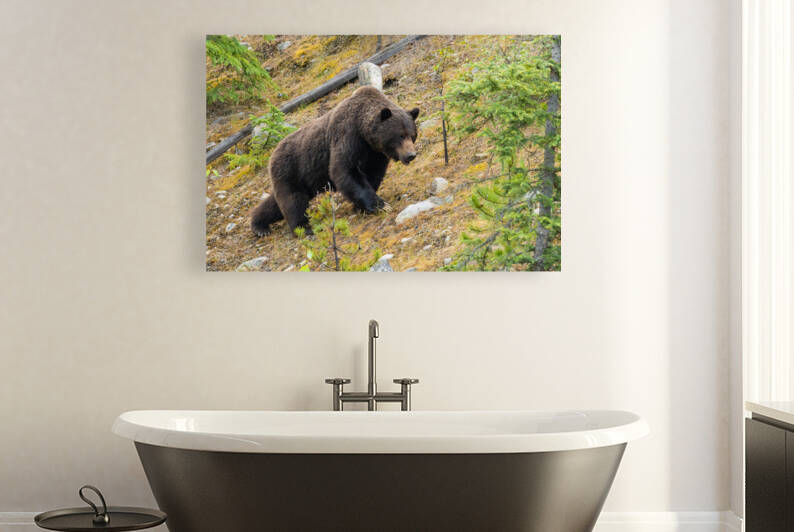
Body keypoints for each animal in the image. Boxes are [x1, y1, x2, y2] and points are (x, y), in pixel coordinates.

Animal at [250, 86, 420, 236]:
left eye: (412, 135)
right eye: (400, 136)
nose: (410, 155)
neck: (364, 133)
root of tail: (273, 153)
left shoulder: (375, 154)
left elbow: (373, 174)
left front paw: (362, 206)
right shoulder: (347, 136)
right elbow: (344, 170)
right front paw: (380, 205)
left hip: (302, 178)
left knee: (276, 203)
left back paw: (259, 224)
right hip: (290, 169)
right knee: (293, 200)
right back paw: (302, 228)